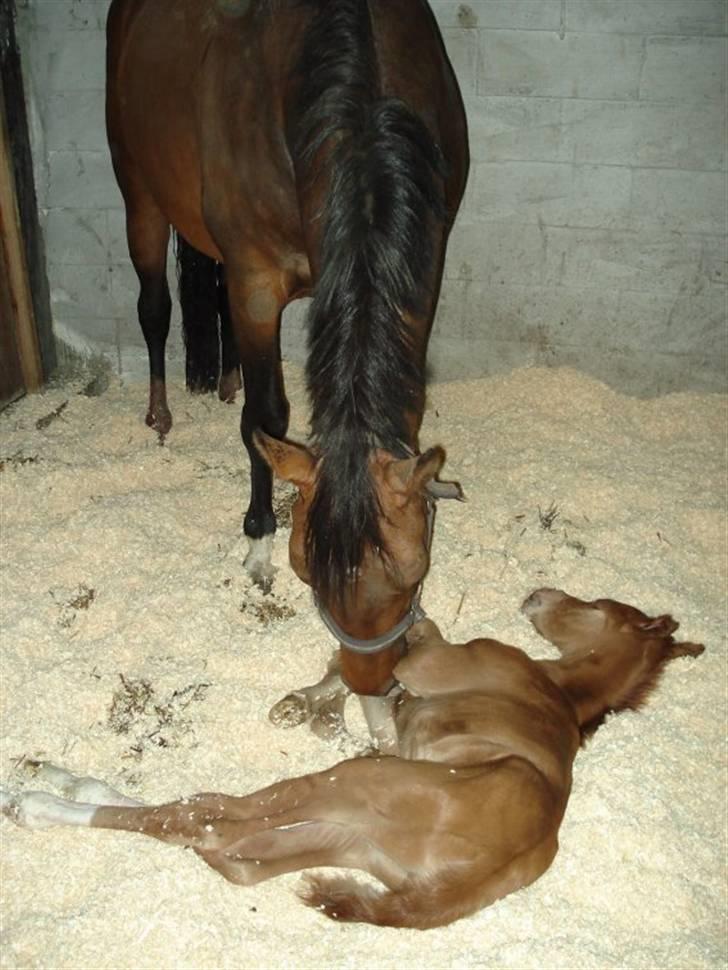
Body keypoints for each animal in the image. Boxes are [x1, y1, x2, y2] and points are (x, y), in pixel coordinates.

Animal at [1, 588, 704, 932]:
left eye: (595, 607)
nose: (540, 591)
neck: (561, 690)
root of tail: (467, 882)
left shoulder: (434, 666)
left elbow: (404, 644)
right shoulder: (394, 732)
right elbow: (371, 691)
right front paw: (317, 703)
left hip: (350, 784)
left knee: (203, 819)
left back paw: (41, 799)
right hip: (349, 838)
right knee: (227, 846)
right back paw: (60, 785)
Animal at [107, 0, 470, 696]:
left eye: (416, 572)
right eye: (308, 573)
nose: (369, 682)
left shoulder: (427, 258)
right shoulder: (257, 283)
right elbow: (268, 418)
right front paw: (257, 537)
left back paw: (223, 381)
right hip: (139, 195)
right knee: (154, 307)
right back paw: (160, 413)